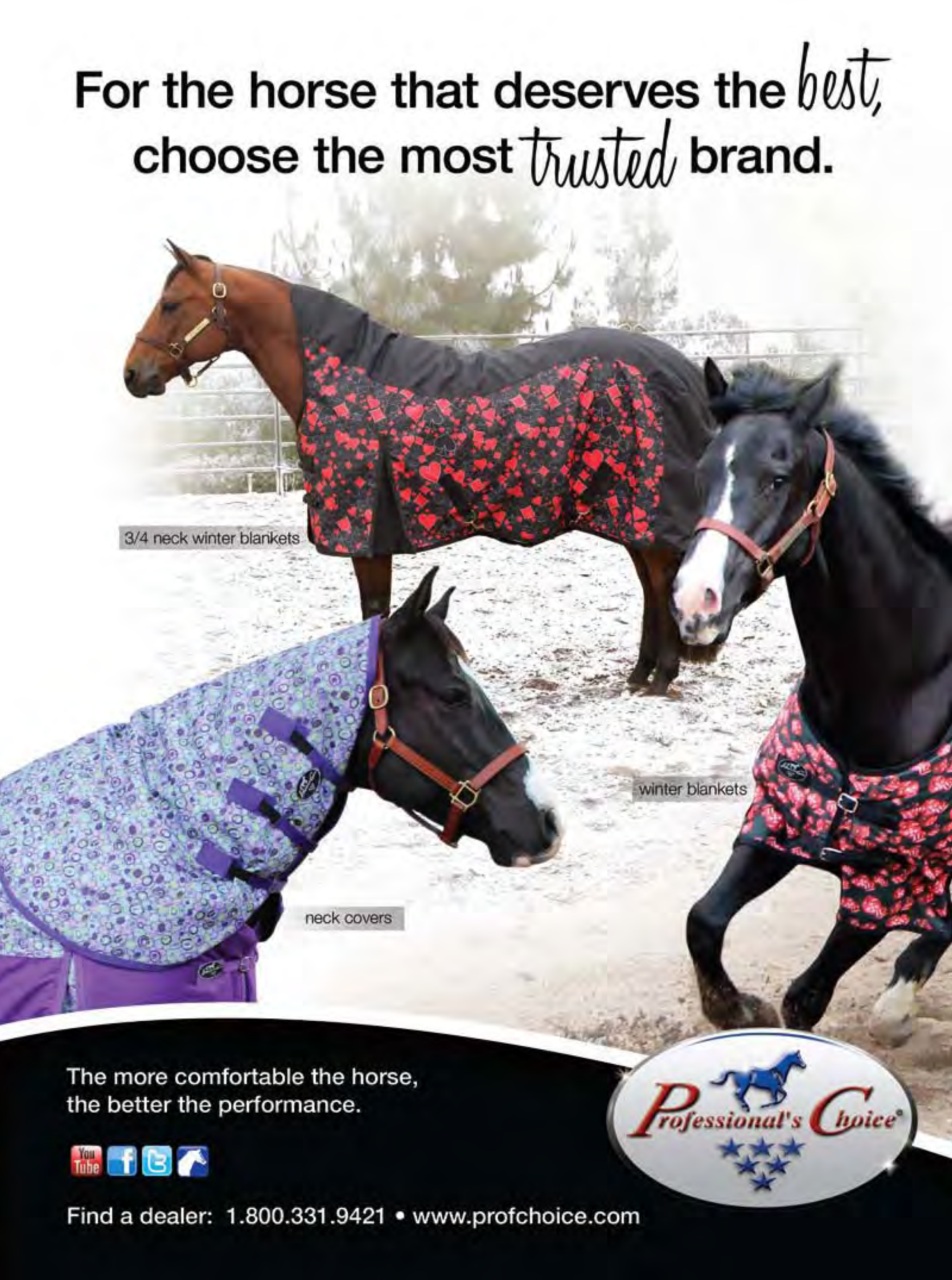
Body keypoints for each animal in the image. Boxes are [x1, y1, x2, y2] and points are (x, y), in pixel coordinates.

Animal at [123, 241, 722, 695]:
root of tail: (679, 369)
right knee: (652, 584)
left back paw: (660, 678)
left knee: (660, 580)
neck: (341, 377)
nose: (133, 374)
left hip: (642, 511)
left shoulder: (368, 535)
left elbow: (374, 610)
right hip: (629, 517)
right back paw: (640, 674)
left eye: (171, 304)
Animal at [671, 358, 952, 1046]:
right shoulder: (778, 825)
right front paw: (736, 1009)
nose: (694, 604)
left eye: (776, 478)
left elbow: (807, 996)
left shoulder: (891, 880)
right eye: (703, 473)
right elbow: (703, 921)